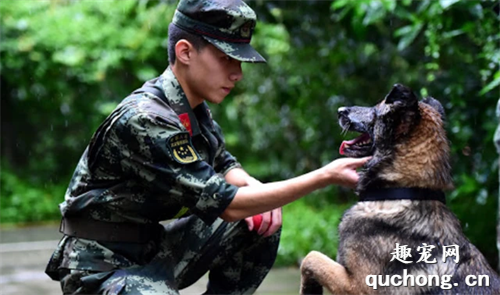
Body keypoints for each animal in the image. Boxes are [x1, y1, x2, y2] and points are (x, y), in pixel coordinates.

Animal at [300, 84, 500, 294]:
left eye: (375, 109)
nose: (339, 110)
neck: (401, 189)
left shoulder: (358, 285)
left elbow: (311, 257)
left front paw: (309, 288)